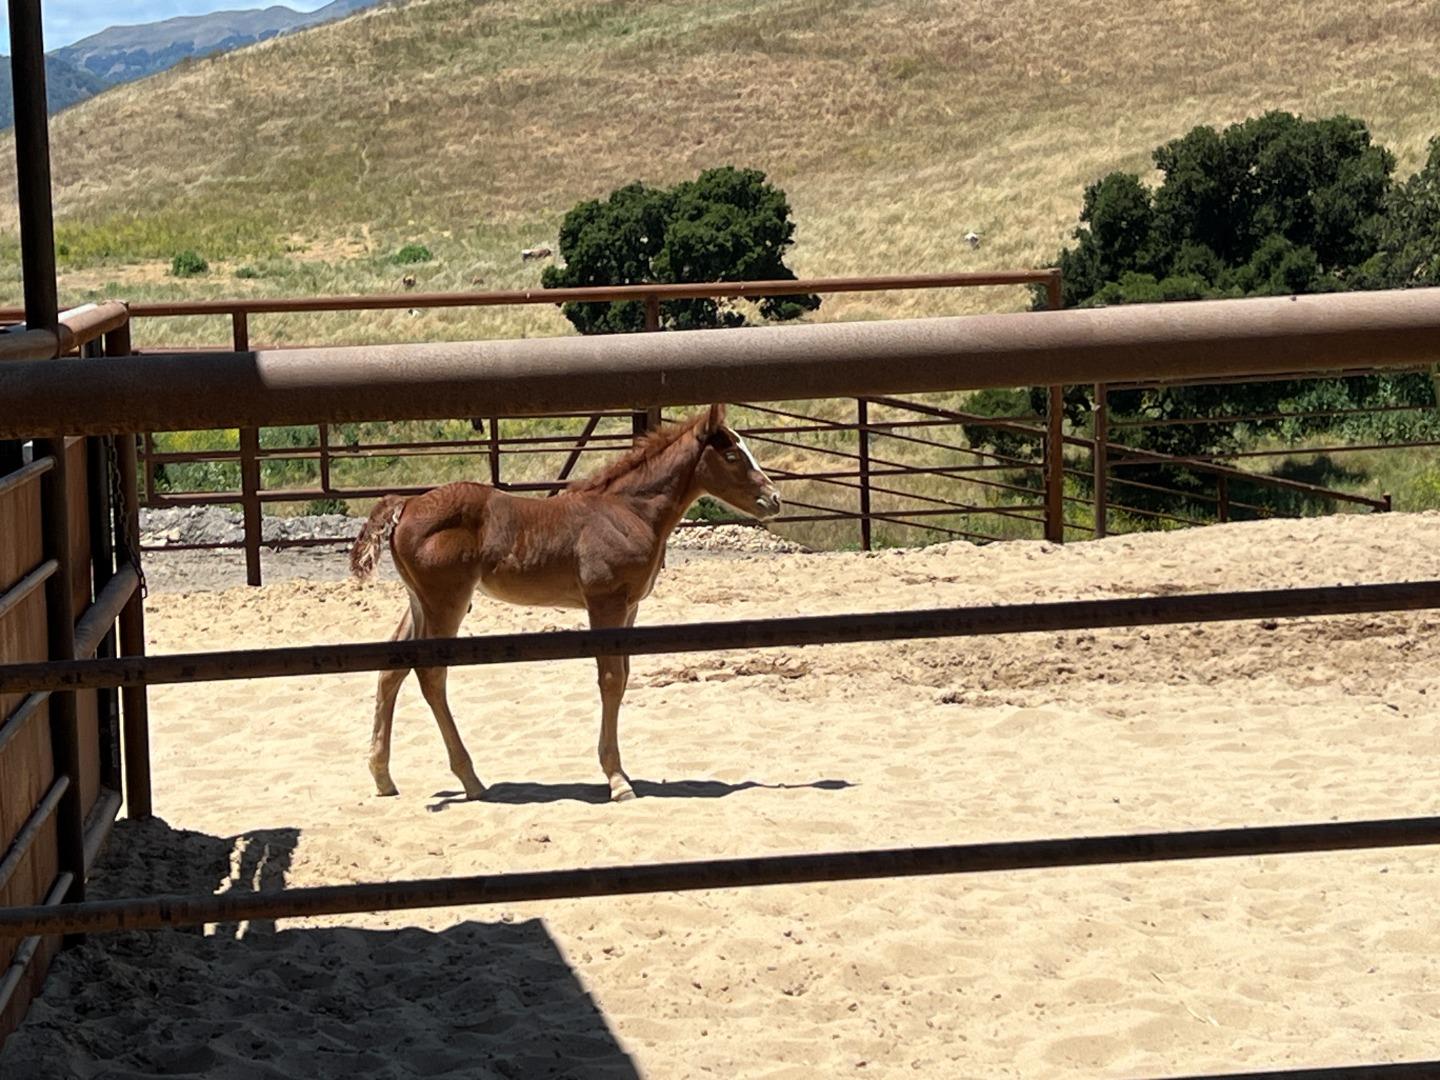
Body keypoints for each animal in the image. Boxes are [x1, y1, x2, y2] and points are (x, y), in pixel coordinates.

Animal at [348, 406, 783, 806]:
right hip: (446, 600)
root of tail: (406, 505)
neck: (628, 511)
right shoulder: (605, 602)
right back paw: (470, 779)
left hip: (419, 600)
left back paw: (383, 777)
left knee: (393, 668)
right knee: (431, 674)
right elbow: (611, 680)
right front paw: (617, 780)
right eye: (732, 455)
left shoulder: (629, 608)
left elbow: (623, 676)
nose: (774, 499)